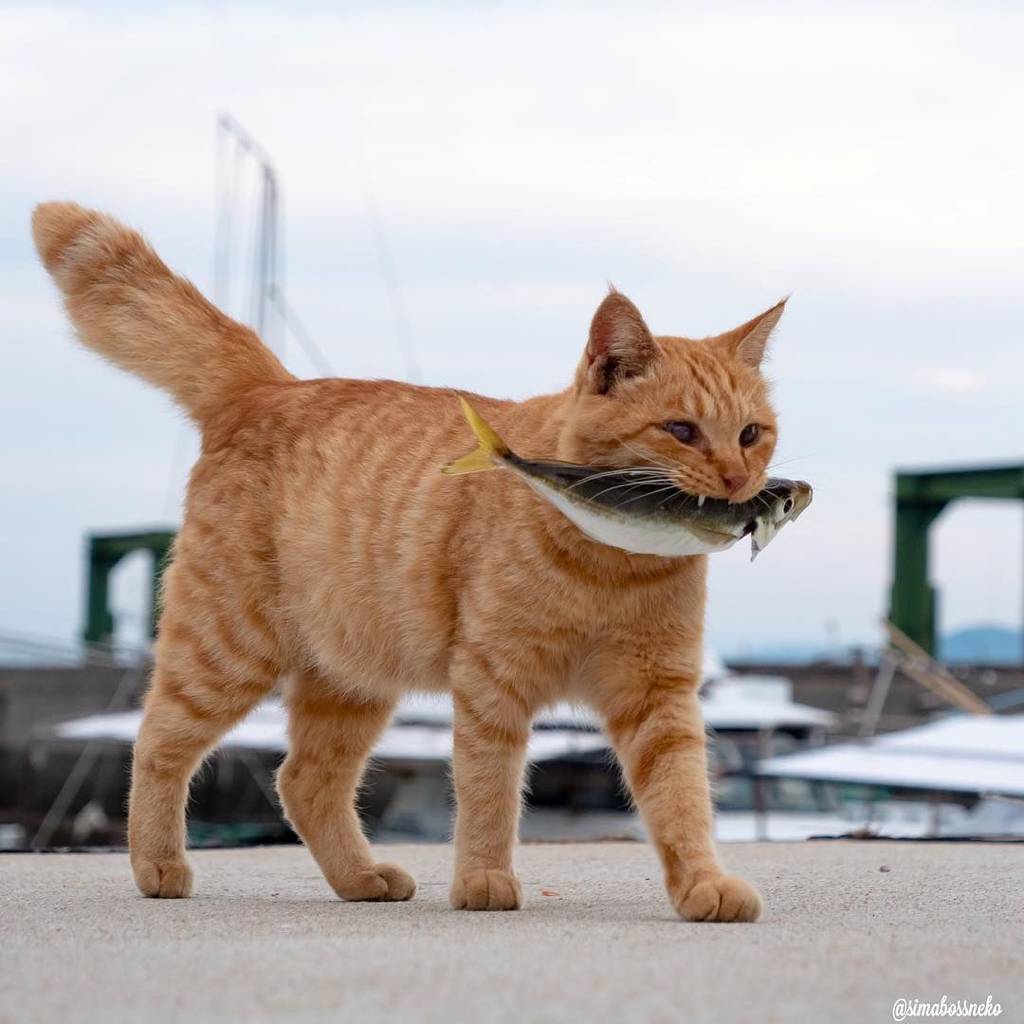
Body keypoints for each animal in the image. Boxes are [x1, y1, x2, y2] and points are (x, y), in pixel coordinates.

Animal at [34, 199, 782, 921]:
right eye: (681, 430)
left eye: (751, 433)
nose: (737, 480)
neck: (614, 563)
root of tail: (271, 386)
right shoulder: (493, 682)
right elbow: (488, 792)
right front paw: (482, 879)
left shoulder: (660, 694)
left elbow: (682, 798)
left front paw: (701, 884)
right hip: (225, 651)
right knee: (156, 740)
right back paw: (157, 865)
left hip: (349, 676)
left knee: (303, 780)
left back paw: (360, 877)